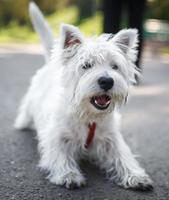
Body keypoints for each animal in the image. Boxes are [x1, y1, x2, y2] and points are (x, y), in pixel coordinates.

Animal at [14, 2, 153, 190]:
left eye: (114, 66)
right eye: (86, 65)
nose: (107, 81)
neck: (88, 115)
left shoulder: (111, 139)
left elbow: (123, 157)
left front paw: (136, 176)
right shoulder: (57, 137)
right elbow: (60, 156)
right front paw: (69, 175)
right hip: (31, 100)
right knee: (26, 110)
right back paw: (21, 124)